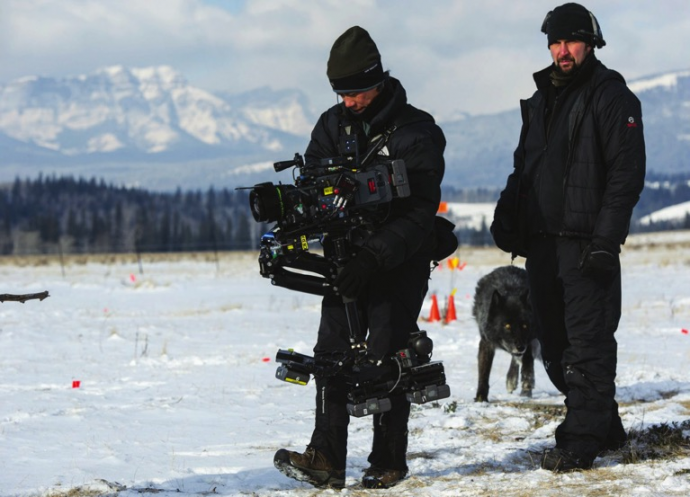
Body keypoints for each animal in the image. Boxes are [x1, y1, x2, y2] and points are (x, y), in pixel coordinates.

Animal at [470, 266, 536, 402]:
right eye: (507, 326)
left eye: (525, 326)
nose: (520, 347)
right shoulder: (486, 343)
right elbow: (483, 373)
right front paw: (481, 398)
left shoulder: (529, 340)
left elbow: (527, 362)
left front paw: (527, 385)